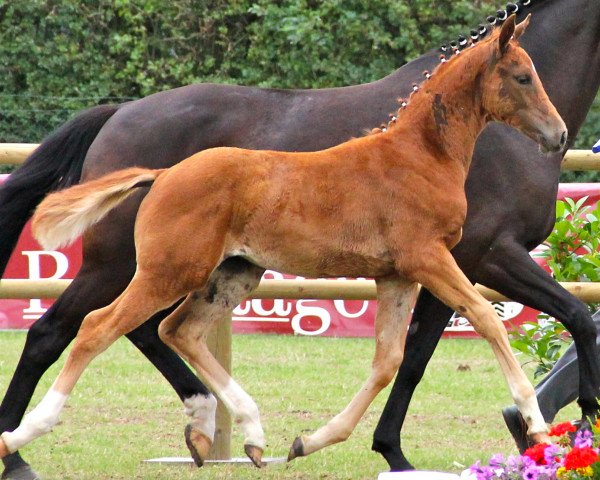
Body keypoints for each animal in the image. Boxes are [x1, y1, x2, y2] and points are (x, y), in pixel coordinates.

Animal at [0, 0, 596, 474]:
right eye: (522, 77)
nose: (557, 134)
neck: (418, 154)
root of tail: (162, 174)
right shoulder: (446, 258)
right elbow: (488, 322)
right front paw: (537, 421)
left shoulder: (399, 274)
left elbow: (392, 360)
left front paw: (315, 442)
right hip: (155, 268)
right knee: (83, 329)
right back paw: (21, 440)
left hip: (232, 272)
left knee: (173, 330)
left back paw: (244, 433)